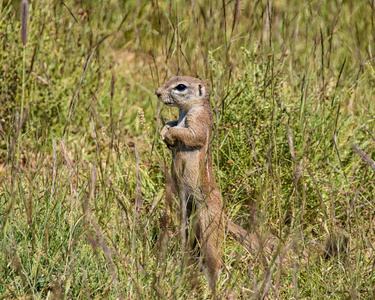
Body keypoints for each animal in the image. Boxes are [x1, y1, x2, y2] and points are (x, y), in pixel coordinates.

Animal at [156, 75, 270, 290]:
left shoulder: (198, 121)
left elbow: (192, 134)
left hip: (208, 223)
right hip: (188, 217)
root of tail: (223, 216)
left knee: (213, 256)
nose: (157, 92)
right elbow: (171, 123)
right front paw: (164, 129)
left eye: (180, 86)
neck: (185, 111)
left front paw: (170, 133)